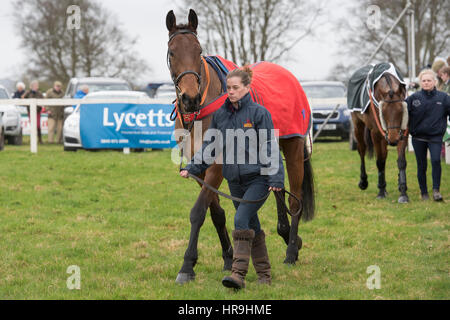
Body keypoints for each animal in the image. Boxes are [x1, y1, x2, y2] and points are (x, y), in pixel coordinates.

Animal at [166, 10, 316, 284]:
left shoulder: (216, 166)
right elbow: (216, 213)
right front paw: (228, 256)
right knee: (277, 189)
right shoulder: (198, 168)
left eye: (198, 50)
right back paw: (287, 234)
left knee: (294, 202)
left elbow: (198, 212)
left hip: (293, 146)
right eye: (172, 52)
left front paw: (187, 265)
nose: (190, 98)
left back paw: (291, 250)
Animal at [350, 65, 410, 202]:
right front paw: (381, 191)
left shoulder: (403, 132)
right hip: (358, 125)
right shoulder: (376, 134)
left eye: (401, 110)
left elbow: (401, 161)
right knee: (362, 150)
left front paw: (403, 192)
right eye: (383, 111)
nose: (393, 139)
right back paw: (363, 181)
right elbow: (380, 162)